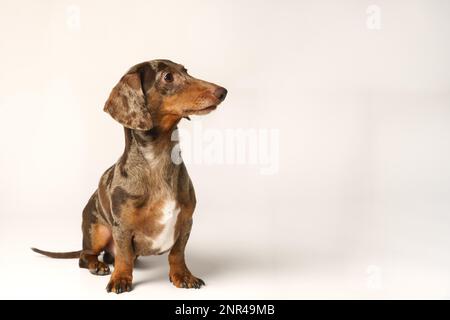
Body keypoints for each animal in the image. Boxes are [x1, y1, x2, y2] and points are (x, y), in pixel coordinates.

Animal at [32, 58, 227, 294]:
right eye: (168, 77)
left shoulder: (186, 221)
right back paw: (98, 266)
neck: (157, 161)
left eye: (185, 71)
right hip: (96, 230)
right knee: (86, 256)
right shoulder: (122, 227)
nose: (222, 92)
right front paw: (120, 278)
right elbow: (124, 256)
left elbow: (177, 253)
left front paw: (182, 275)